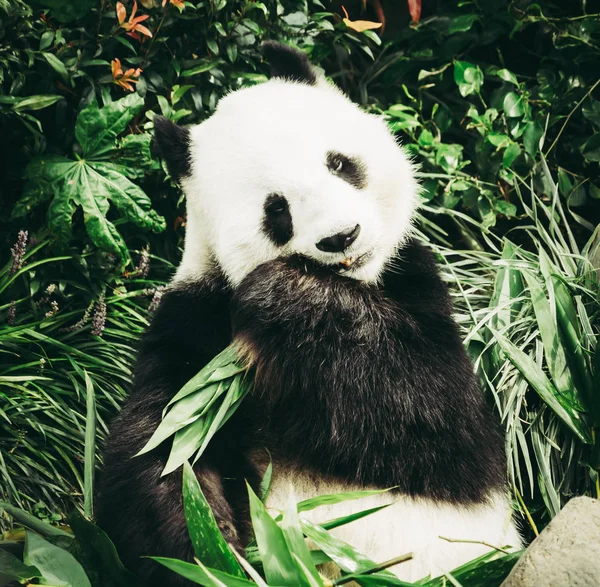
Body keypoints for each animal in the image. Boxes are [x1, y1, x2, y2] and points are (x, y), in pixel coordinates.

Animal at [97, 42, 520, 587]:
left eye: (340, 164)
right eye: (276, 209)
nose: (342, 236)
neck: (357, 285)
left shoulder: (416, 283)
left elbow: (439, 423)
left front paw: (282, 294)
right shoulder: (195, 323)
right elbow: (159, 444)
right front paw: (212, 547)